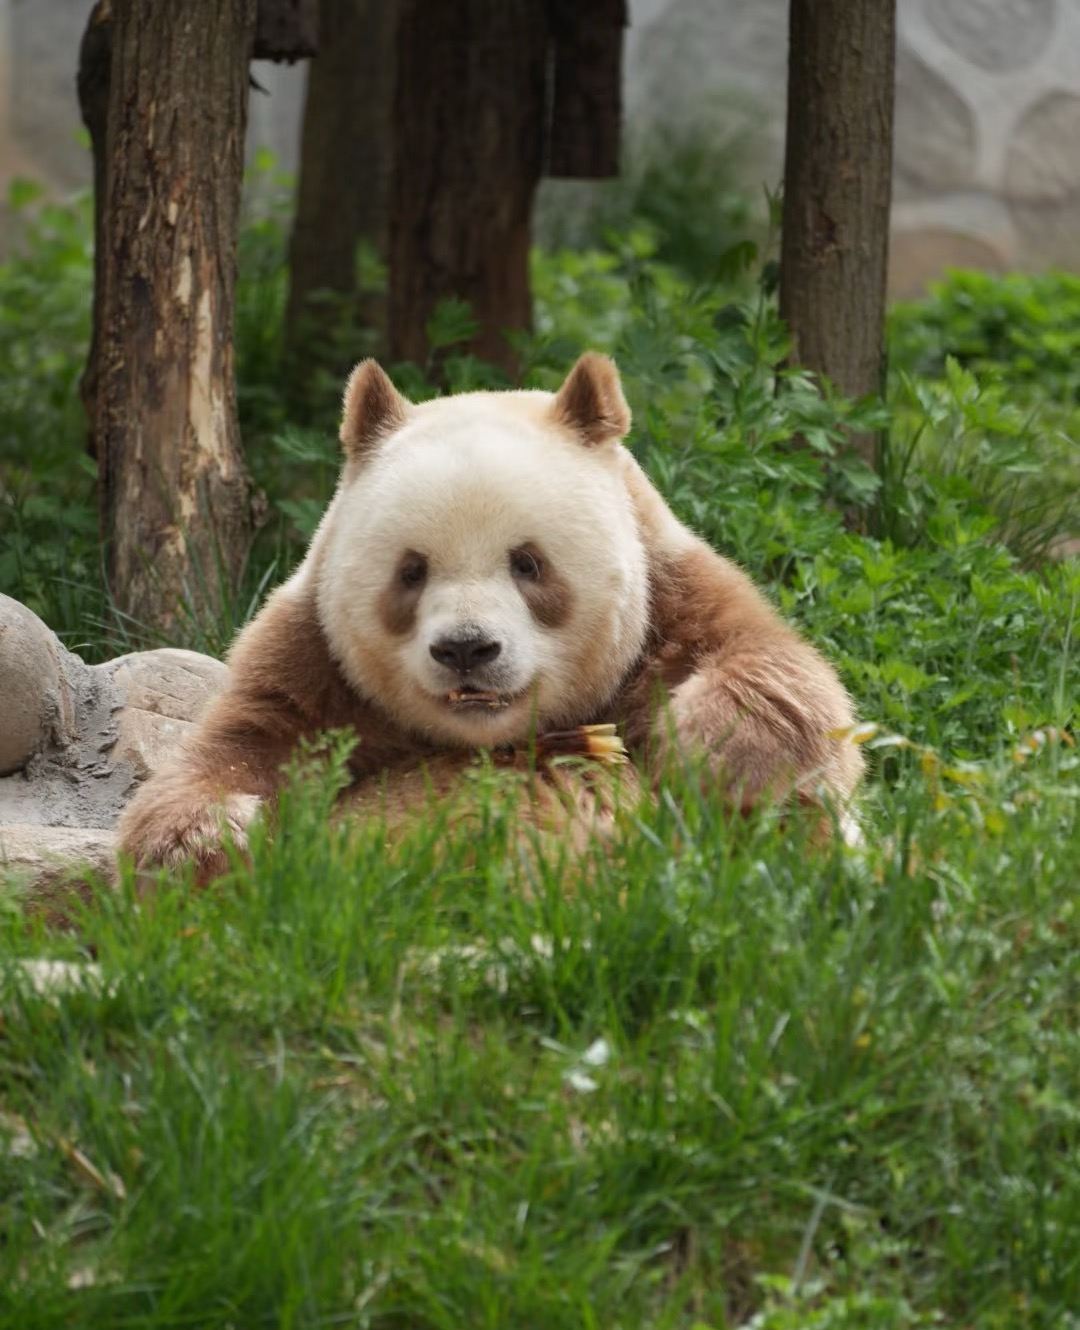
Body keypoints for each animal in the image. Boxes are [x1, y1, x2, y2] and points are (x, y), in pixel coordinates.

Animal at [118, 353, 863, 880]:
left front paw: (720, 742)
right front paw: (205, 839)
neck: (494, 738)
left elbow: (778, 676)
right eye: (412, 570)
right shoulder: (314, 667)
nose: (467, 650)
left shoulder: (669, 604)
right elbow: (237, 748)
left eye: (527, 563)